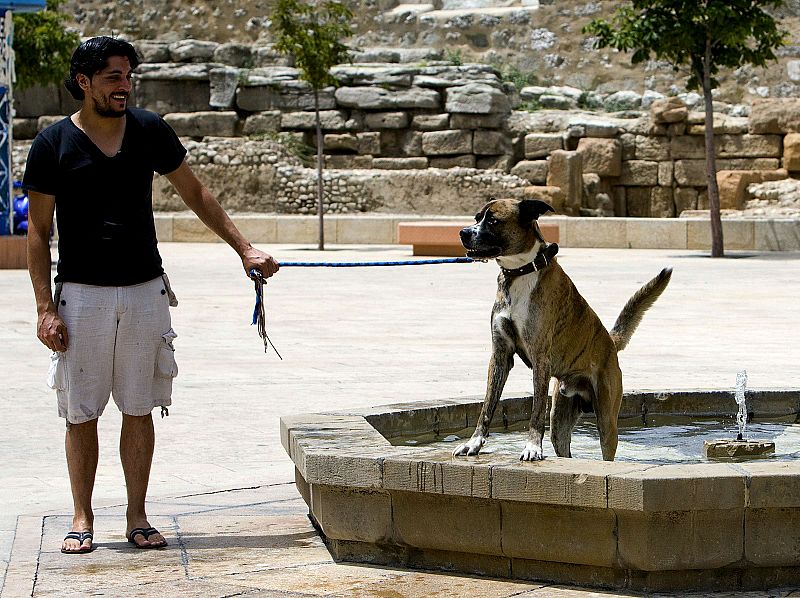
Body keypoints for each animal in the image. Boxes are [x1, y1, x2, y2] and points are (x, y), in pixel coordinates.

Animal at [454, 199, 672, 462]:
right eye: (477, 218)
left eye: (494, 221)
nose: (463, 233)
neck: (521, 272)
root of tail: (610, 342)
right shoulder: (500, 356)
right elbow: (487, 407)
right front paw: (474, 443)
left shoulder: (540, 359)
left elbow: (536, 409)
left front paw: (532, 447)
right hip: (559, 422)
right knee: (565, 451)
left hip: (607, 422)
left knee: (606, 451)